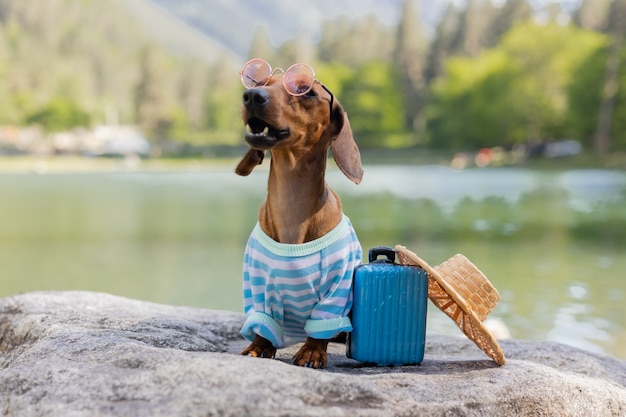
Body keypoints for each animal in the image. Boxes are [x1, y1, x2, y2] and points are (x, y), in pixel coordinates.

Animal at [234, 58, 360, 368]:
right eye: (261, 83)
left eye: (307, 91)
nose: (251, 96)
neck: (292, 205)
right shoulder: (257, 285)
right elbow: (262, 325)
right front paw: (258, 346)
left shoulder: (337, 286)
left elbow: (322, 326)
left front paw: (312, 351)